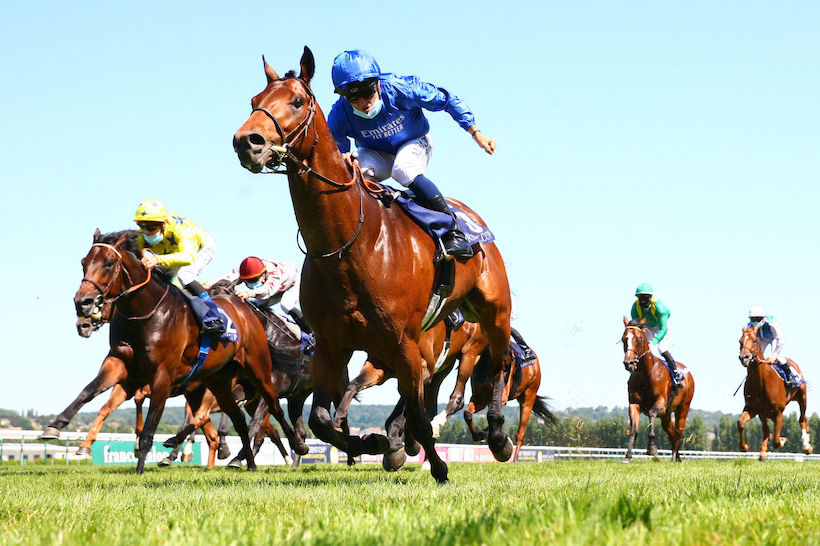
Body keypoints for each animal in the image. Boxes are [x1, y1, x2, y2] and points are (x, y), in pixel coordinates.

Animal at [59, 227, 306, 470]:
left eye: (109, 263)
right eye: (84, 262)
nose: (83, 305)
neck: (146, 312)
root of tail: (247, 312)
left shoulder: (162, 376)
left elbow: (150, 429)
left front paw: (140, 467)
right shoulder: (120, 365)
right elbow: (89, 392)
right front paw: (58, 425)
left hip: (258, 372)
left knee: (273, 407)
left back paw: (297, 446)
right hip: (219, 382)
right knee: (241, 421)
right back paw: (249, 463)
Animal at [231, 46, 512, 480]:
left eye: (297, 101)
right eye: (254, 102)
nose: (247, 141)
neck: (349, 247)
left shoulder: (405, 346)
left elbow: (417, 414)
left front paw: (435, 466)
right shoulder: (332, 347)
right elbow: (322, 421)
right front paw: (376, 443)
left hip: (493, 312)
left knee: (499, 364)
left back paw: (497, 436)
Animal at [620, 316, 696, 462]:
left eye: (639, 339)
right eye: (623, 339)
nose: (629, 363)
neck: (645, 374)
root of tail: (688, 373)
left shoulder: (661, 403)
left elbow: (651, 414)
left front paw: (652, 448)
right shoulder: (634, 404)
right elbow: (633, 430)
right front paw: (627, 456)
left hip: (683, 408)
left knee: (678, 433)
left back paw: (674, 457)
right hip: (666, 415)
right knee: (671, 432)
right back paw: (677, 457)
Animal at [736, 324, 812, 460]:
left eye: (754, 341)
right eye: (740, 341)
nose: (744, 357)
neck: (761, 382)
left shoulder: (778, 412)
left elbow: (776, 441)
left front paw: (782, 440)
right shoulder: (753, 409)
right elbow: (740, 423)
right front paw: (744, 447)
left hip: (802, 397)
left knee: (802, 419)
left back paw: (806, 447)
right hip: (763, 414)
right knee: (765, 430)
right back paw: (762, 453)